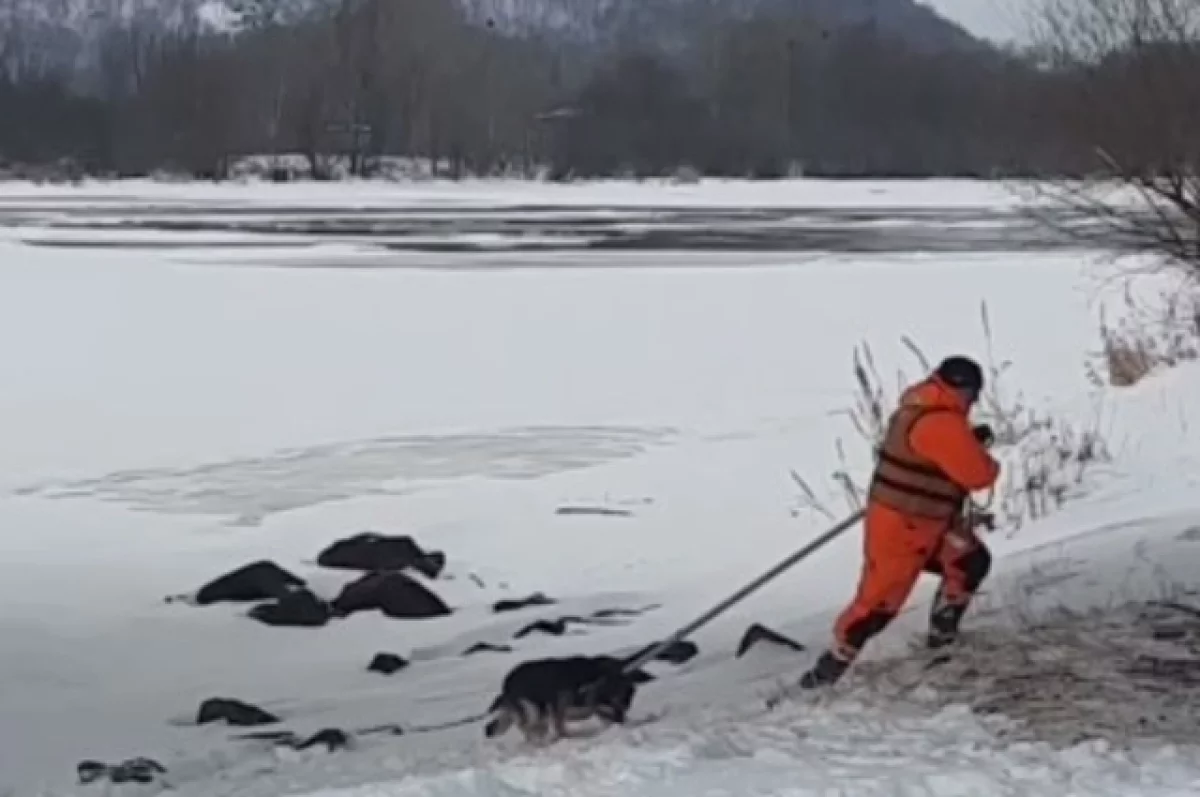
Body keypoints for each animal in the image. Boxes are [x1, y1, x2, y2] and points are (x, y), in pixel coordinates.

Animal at [480, 652, 657, 739]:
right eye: (621, 699)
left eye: (627, 700)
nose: (621, 719)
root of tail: (507, 682)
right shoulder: (559, 707)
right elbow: (561, 728)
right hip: (534, 711)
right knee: (527, 728)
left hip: (535, 713)